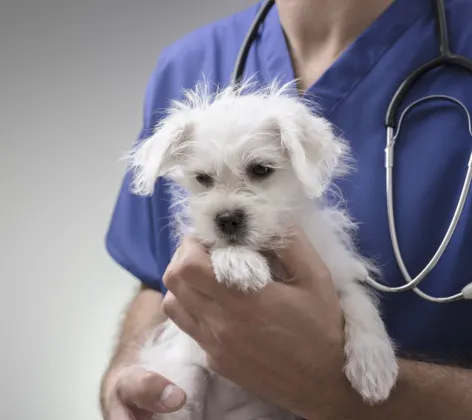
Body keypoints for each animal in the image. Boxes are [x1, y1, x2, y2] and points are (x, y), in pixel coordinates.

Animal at [125, 81, 398, 420]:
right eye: (202, 178)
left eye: (260, 169)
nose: (226, 219)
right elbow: (221, 248)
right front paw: (239, 263)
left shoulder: (335, 272)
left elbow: (359, 303)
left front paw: (374, 364)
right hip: (184, 381)